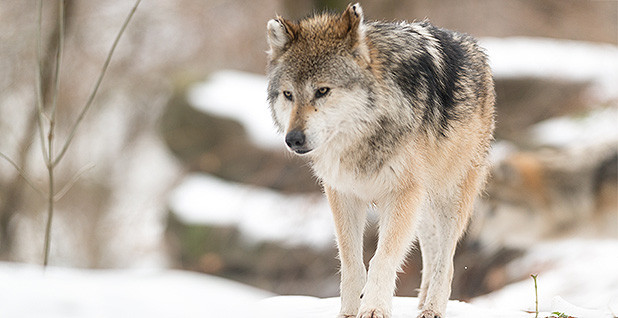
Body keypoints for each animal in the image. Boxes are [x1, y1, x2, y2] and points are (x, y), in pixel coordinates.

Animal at [264, 3, 490, 318]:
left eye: (322, 91)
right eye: (288, 94)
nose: (293, 139)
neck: (363, 137)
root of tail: (471, 44)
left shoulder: (402, 194)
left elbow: (382, 259)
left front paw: (373, 308)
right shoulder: (343, 194)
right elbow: (351, 262)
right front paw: (348, 312)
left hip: (450, 197)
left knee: (446, 261)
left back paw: (432, 307)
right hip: (423, 206)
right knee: (431, 252)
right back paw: (421, 300)